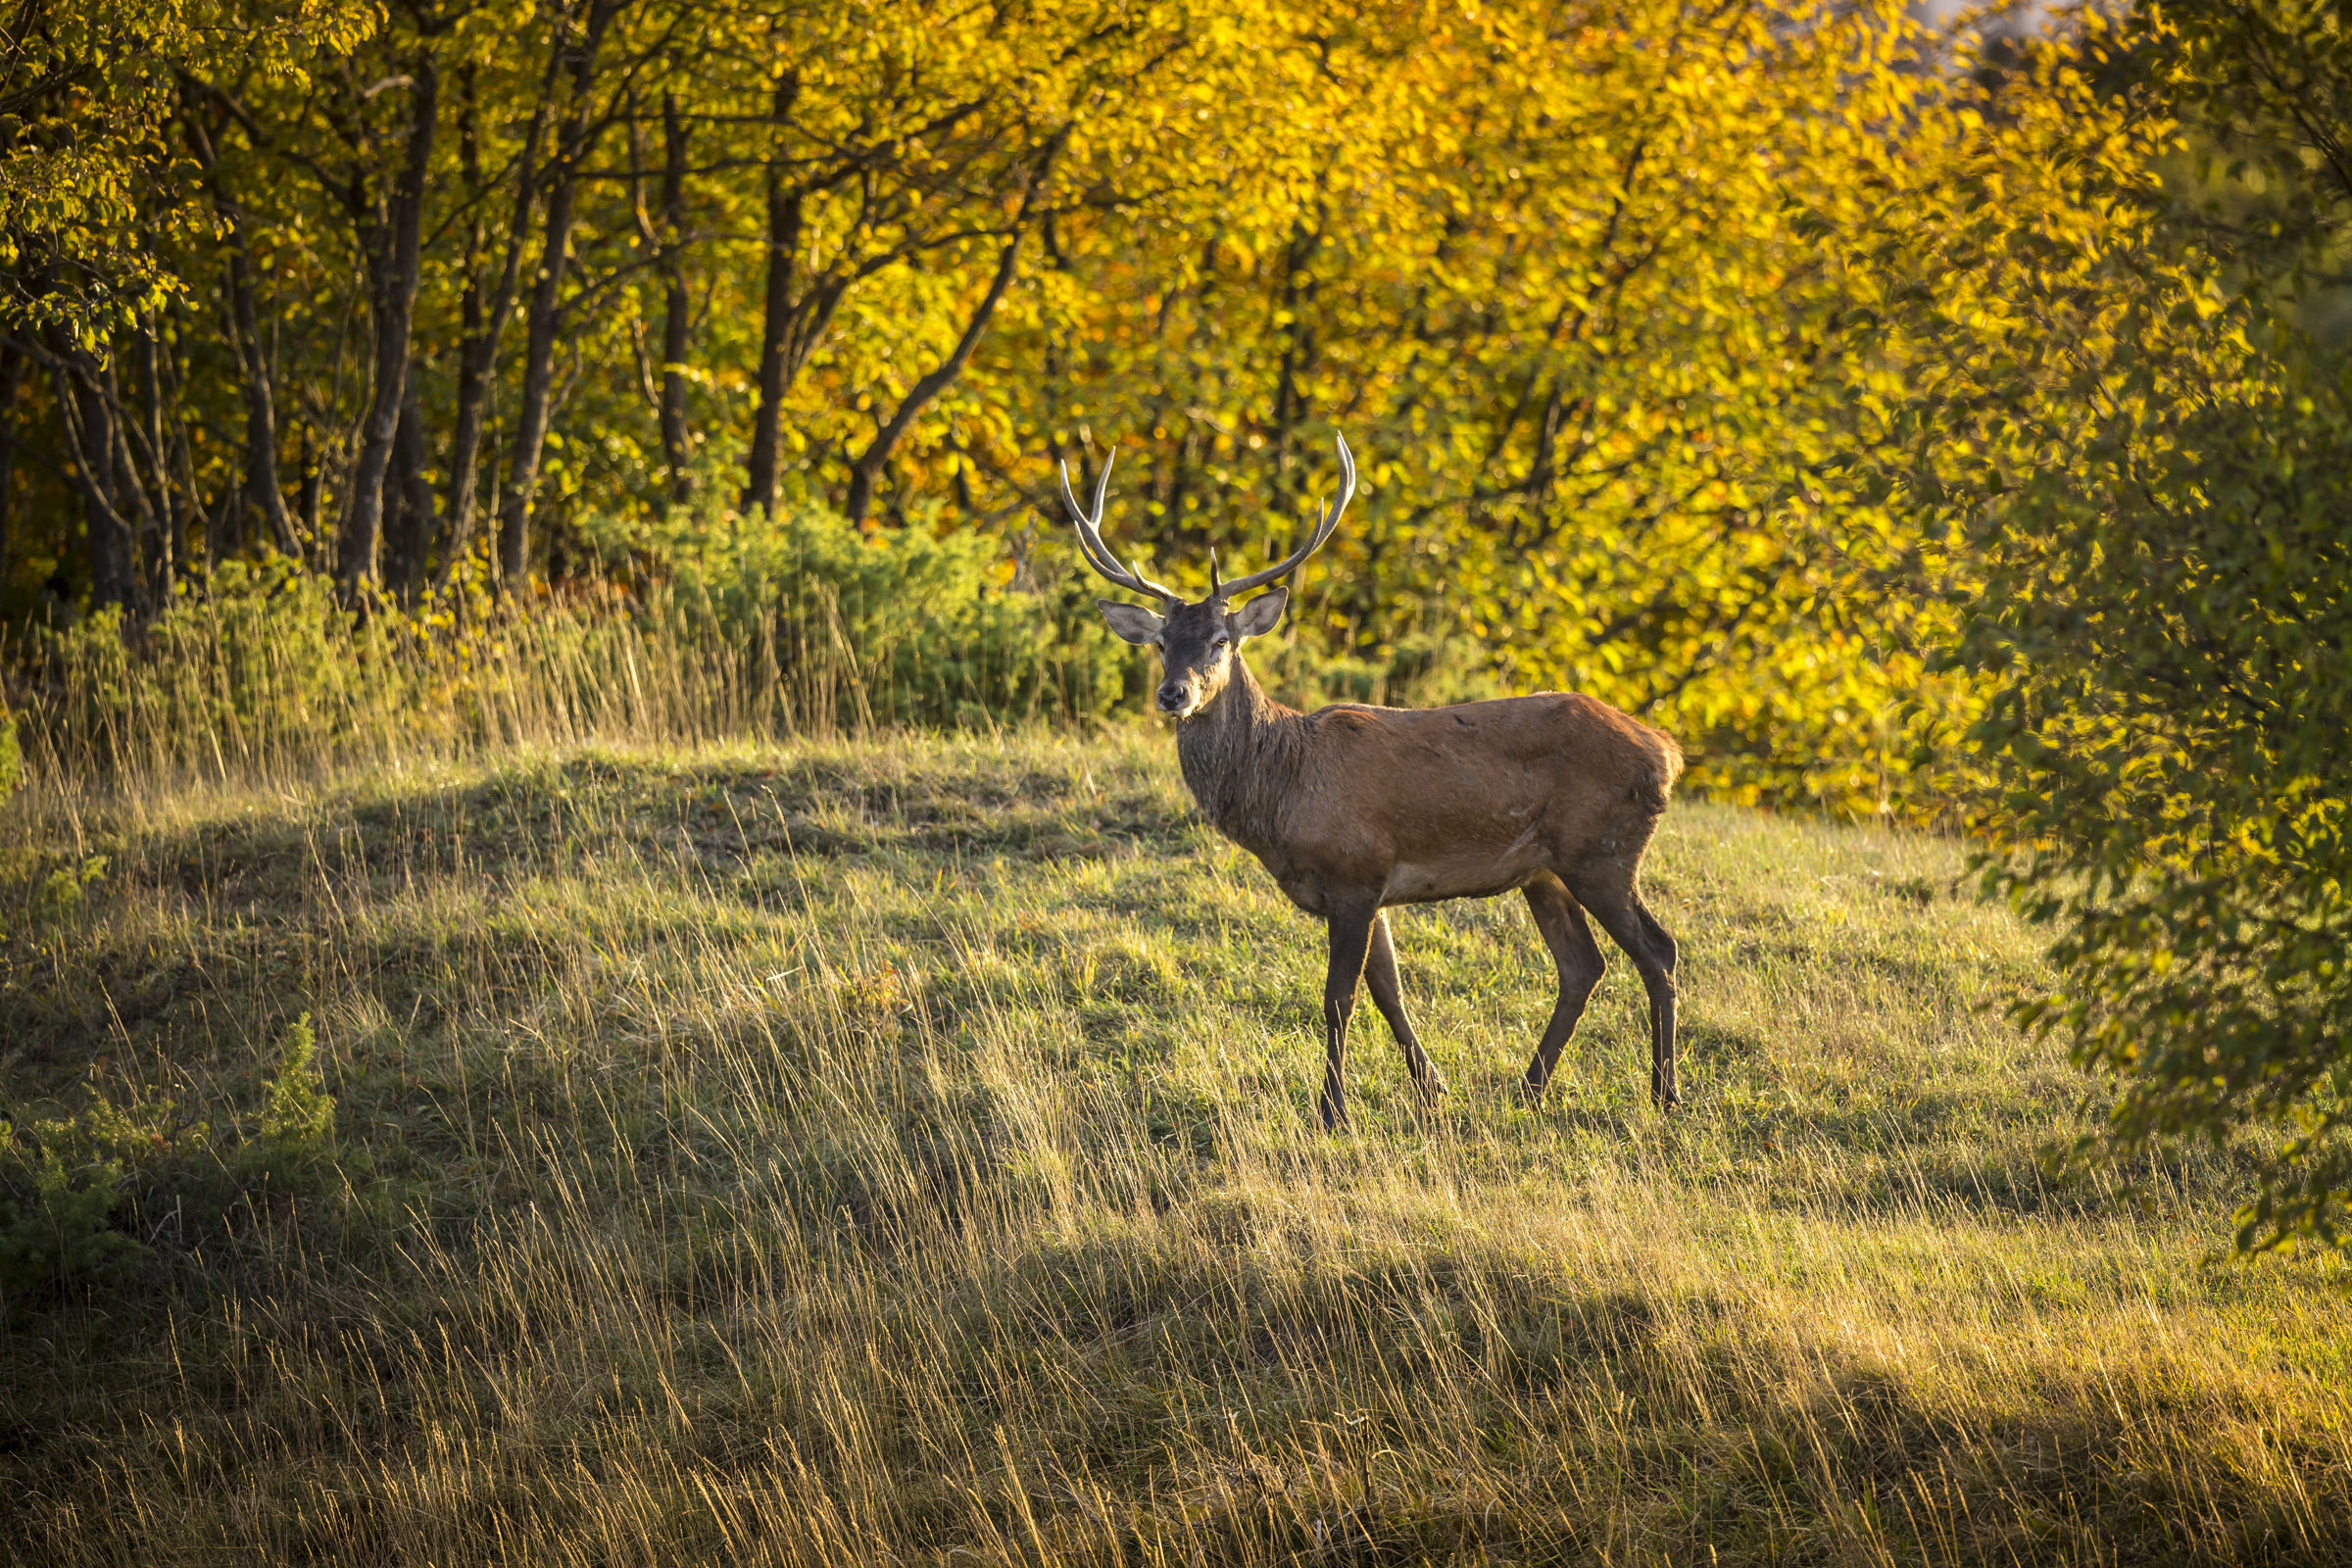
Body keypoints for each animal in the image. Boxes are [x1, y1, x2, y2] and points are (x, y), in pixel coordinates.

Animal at [1062, 434, 1685, 1128]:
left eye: (1221, 640)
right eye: (1162, 642)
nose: (1174, 694)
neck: (1282, 796)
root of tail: (1666, 752)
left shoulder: (1355, 870)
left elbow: (1340, 998)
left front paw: (1332, 1111)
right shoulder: (1371, 885)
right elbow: (1389, 992)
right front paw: (1433, 1090)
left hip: (1602, 849)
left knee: (1658, 950)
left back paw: (1665, 1094)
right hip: (1544, 871)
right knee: (1582, 965)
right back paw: (1529, 1089)